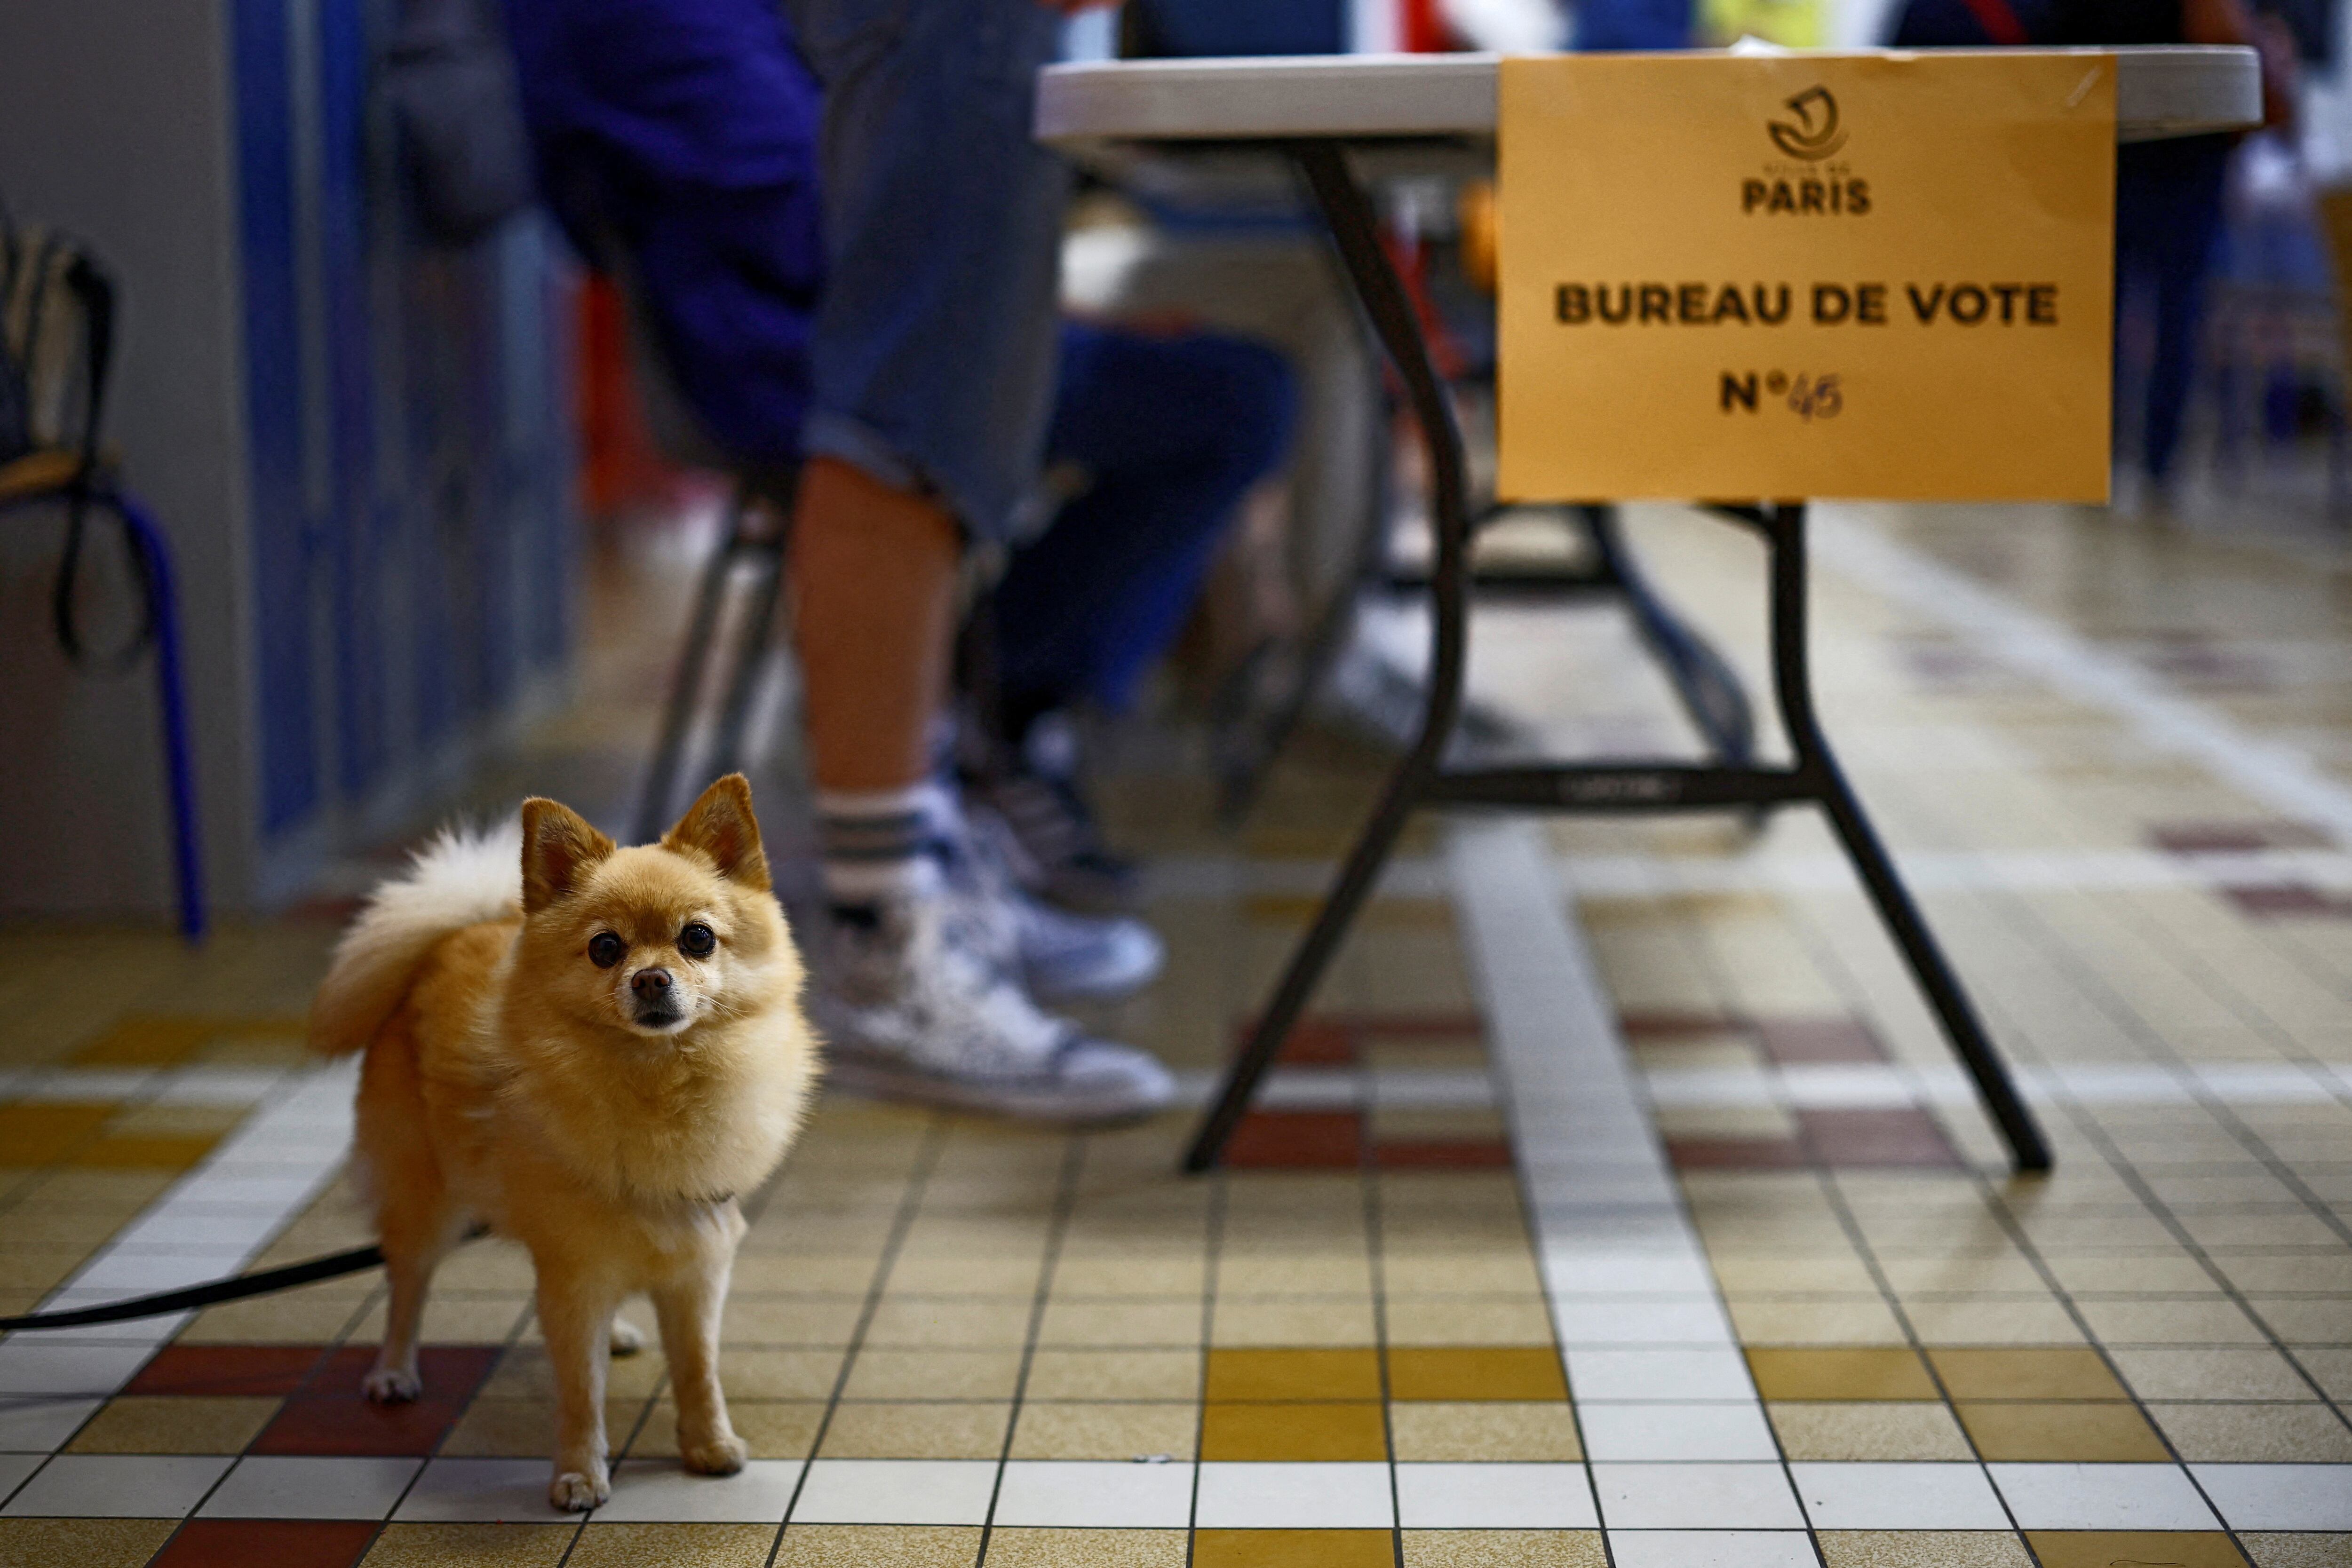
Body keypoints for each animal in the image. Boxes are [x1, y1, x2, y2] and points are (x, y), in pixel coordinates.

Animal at [306, 780, 818, 1514]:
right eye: (605, 948)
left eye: (697, 938)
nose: (651, 979)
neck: (655, 1082)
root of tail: (453, 934)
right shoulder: (574, 1273)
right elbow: (581, 1390)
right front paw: (579, 1473)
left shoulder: (697, 1262)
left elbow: (698, 1368)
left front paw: (709, 1444)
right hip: (425, 1202)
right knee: (407, 1286)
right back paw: (394, 1371)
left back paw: (620, 1332)